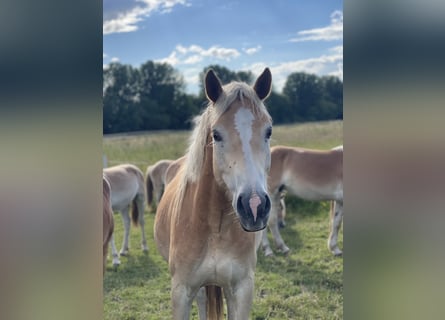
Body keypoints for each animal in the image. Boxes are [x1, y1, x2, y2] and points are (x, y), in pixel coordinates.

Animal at [155, 68, 274, 320]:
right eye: (216, 135)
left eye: (268, 131)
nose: (255, 206)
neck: (214, 227)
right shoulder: (181, 292)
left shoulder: (242, 289)